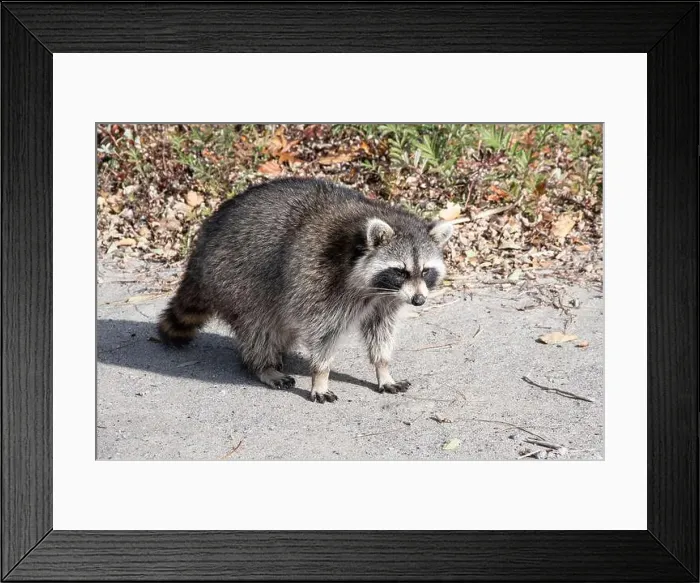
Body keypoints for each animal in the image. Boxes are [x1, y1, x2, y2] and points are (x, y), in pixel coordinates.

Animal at [158, 178, 453, 403]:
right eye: (401, 271)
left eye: (425, 271)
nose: (419, 300)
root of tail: (200, 251)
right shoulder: (320, 281)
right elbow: (322, 332)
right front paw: (320, 375)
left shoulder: (384, 302)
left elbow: (380, 331)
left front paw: (383, 369)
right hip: (236, 279)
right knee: (259, 327)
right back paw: (263, 365)